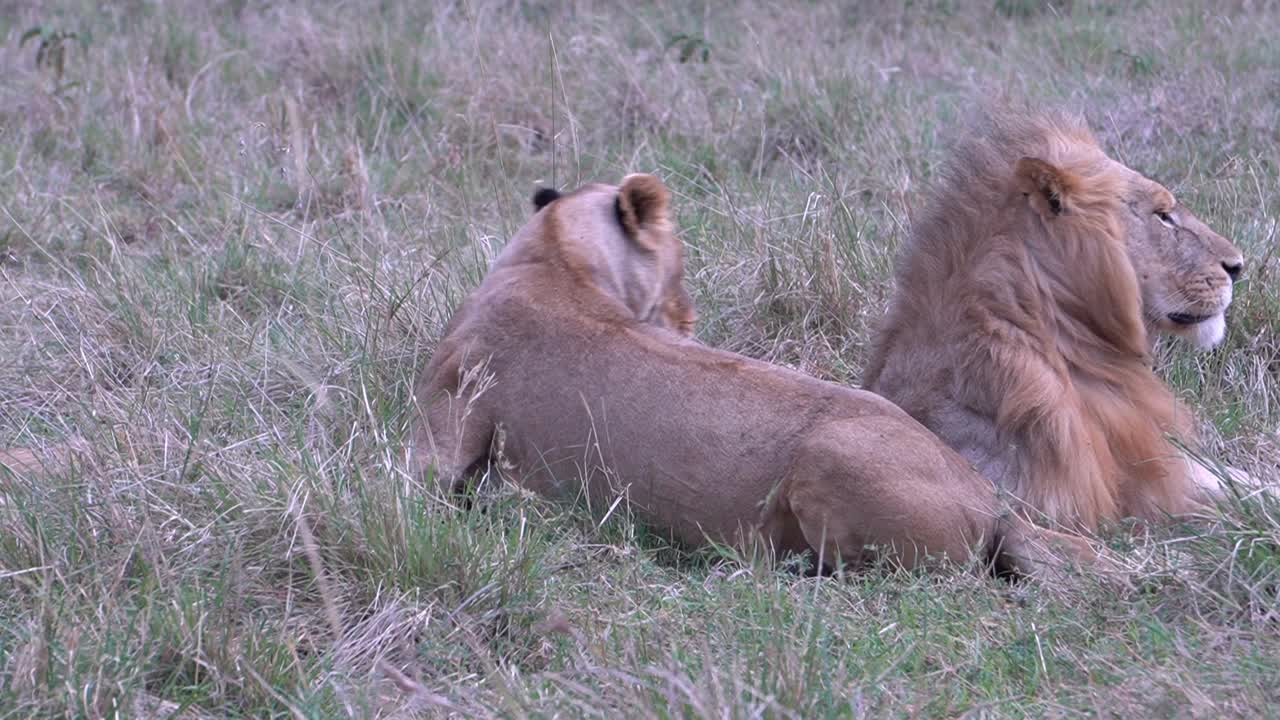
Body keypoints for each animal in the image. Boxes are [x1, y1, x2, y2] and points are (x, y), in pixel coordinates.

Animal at [409, 170, 1090, 573]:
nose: (690, 318)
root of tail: (991, 500)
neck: (556, 257)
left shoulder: (444, 430)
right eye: (682, 264)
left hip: (831, 457)